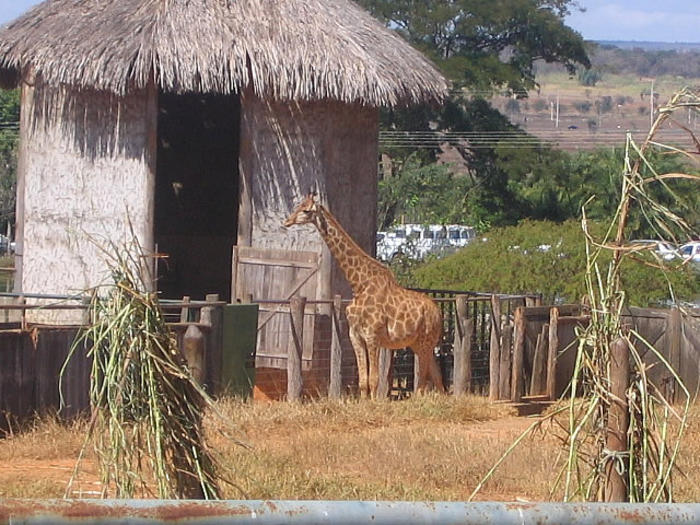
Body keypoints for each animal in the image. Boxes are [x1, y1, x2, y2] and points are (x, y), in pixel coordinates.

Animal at [284, 192, 442, 398]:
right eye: (298, 205)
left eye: (306, 210)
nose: (287, 222)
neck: (359, 284)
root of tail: (438, 313)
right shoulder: (355, 335)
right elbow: (363, 381)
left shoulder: (372, 336)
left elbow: (374, 380)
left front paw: (375, 403)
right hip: (420, 343)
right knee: (437, 377)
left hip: (425, 342)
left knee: (423, 381)